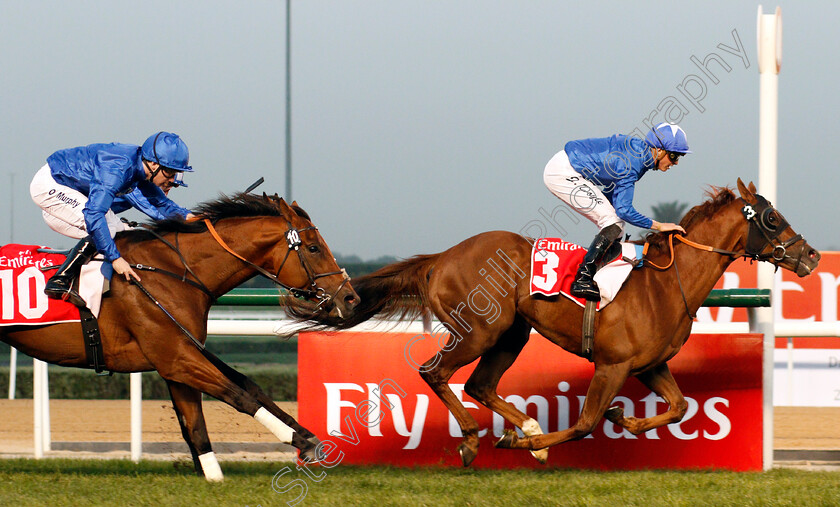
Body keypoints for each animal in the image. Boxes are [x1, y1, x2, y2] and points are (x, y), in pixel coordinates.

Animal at [0, 192, 356, 482]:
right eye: (313, 248)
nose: (350, 298)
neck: (171, 271)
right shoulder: (175, 358)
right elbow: (239, 396)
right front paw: (300, 441)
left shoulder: (181, 354)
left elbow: (220, 404)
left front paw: (211, 473)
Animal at [288, 180, 820, 468]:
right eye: (772, 219)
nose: (812, 256)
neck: (666, 284)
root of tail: (441, 258)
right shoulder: (612, 364)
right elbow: (583, 424)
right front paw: (535, 443)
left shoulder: (649, 365)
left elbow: (680, 407)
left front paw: (623, 419)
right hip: (479, 330)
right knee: (436, 372)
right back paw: (477, 439)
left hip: (511, 333)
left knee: (479, 385)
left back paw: (516, 425)